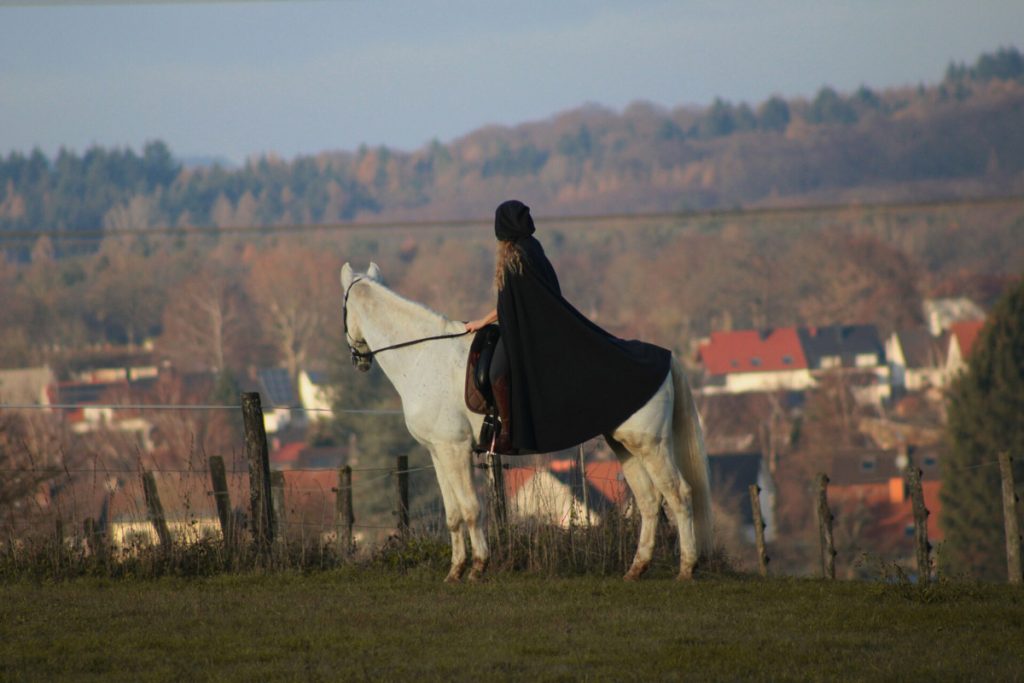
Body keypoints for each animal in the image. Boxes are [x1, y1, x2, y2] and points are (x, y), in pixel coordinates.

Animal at [339, 262, 708, 581]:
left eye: (343, 310)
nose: (358, 361)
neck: (423, 356)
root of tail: (664, 357)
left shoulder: (455, 450)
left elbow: (471, 509)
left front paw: (478, 567)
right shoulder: (439, 452)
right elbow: (453, 514)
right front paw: (455, 571)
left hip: (650, 445)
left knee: (678, 494)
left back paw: (686, 568)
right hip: (624, 445)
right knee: (649, 501)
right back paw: (637, 569)